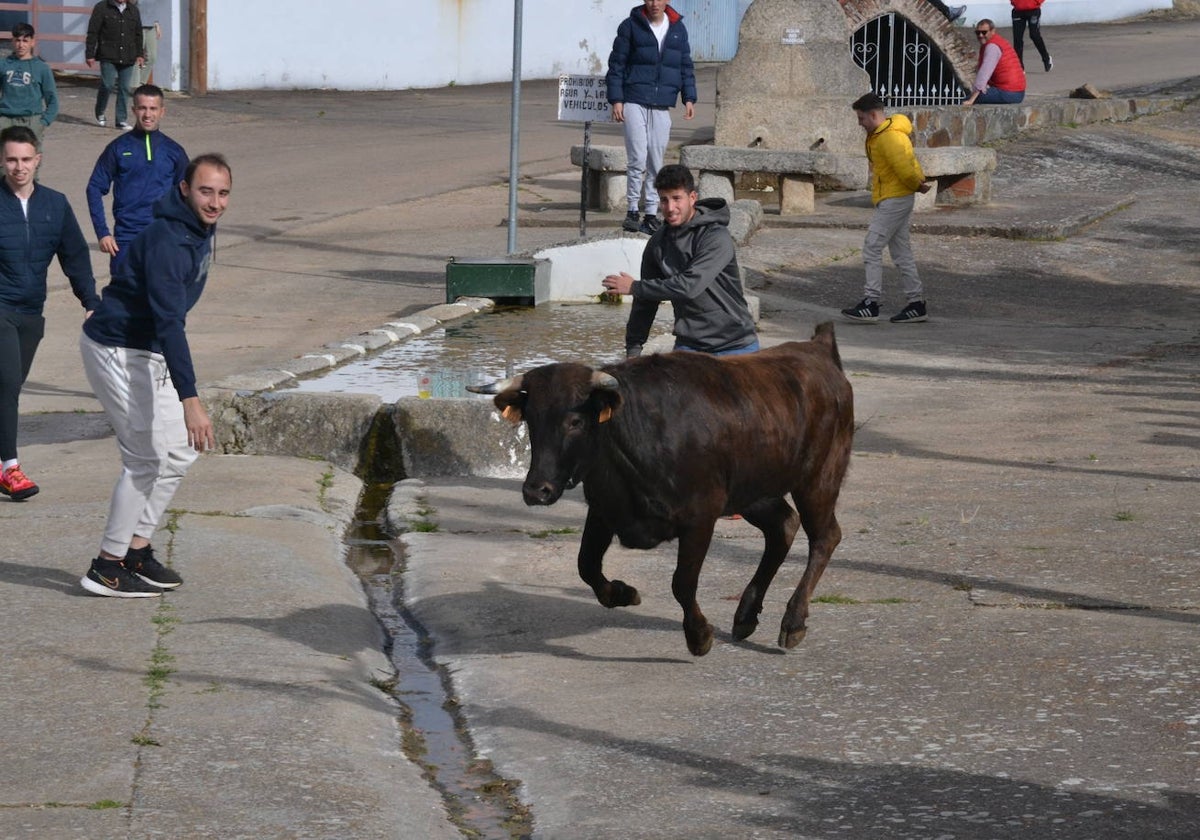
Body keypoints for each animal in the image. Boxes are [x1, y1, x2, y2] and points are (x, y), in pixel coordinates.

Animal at [468, 321, 854, 657]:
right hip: (753, 491)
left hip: (819, 478)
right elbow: (586, 565)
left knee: (825, 537)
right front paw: (623, 593)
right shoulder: (604, 508)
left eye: (575, 421)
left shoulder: (700, 516)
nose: (537, 491)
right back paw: (745, 616)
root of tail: (816, 349)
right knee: (783, 526)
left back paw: (793, 622)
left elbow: (682, 582)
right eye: (530, 420)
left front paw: (699, 635)